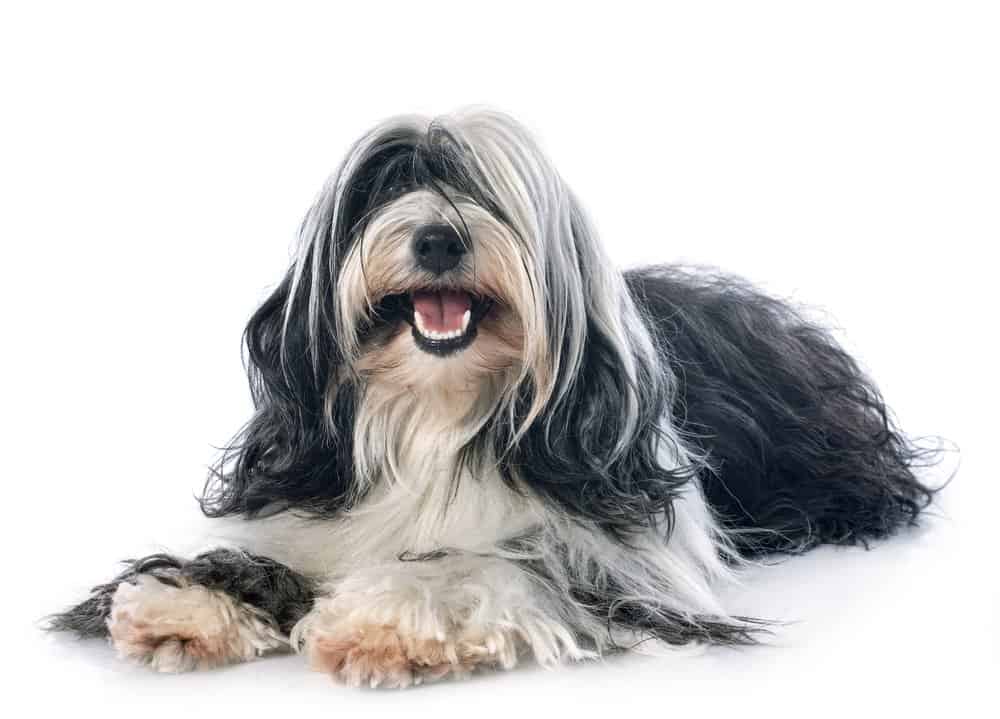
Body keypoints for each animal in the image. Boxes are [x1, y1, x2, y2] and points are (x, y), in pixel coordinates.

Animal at [47, 109, 936, 688]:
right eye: (383, 186)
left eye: (486, 191)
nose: (439, 237)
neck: (436, 411)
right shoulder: (311, 508)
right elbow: (255, 555)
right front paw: (182, 603)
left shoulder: (627, 561)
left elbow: (490, 562)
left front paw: (384, 618)